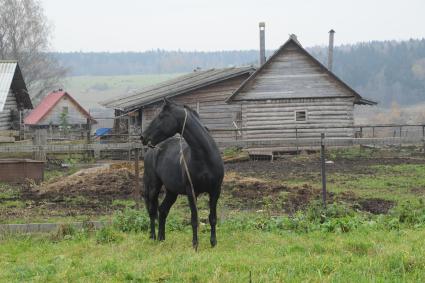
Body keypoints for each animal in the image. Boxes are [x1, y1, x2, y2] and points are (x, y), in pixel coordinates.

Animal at [140, 98, 225, 250]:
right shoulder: (191, 192)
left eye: (161, 116)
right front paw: (195, 245)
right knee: (152, 210)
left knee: (162, 210)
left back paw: (161, 238)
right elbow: (194, 219)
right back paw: (153, 237)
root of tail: (152, 150)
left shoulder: (215, 191)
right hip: (153, 186)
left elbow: (212, 218)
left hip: (172, 191)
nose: (143, 137)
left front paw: (213, 243)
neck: (205, 158)